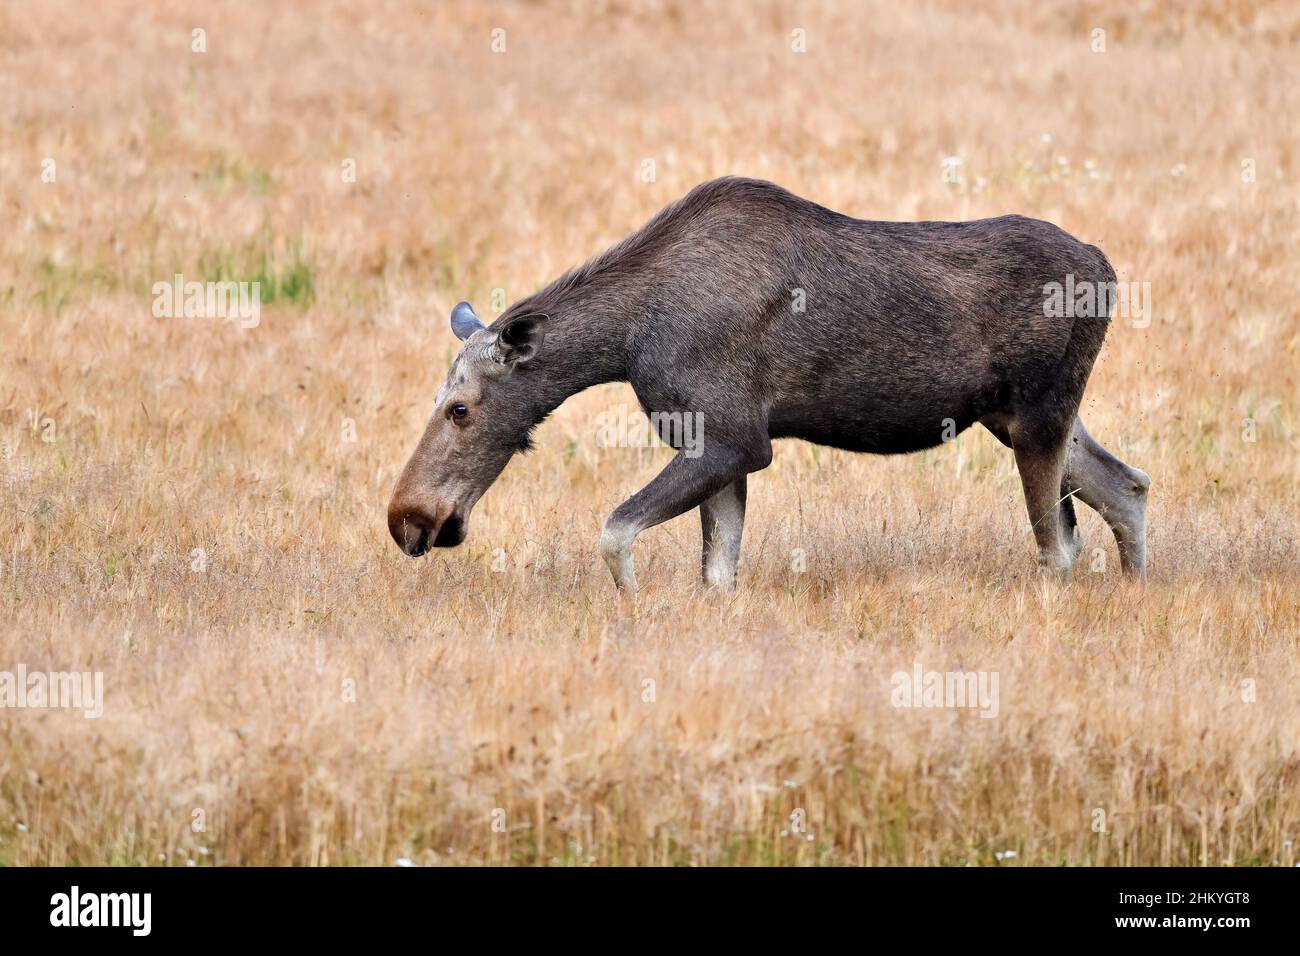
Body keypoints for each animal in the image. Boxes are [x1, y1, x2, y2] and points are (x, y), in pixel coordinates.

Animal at [382, 175, 1149, 587]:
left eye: (459, 409)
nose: (407, 519)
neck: (625, 343)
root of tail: (1107, 267)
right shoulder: (719, 447)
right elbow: (717, 572)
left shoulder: (733, 439)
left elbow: (615, 531)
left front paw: (632, 601)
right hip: (1016, 415)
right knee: (1128, 486)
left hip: (1039, 411)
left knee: (1060, 546)